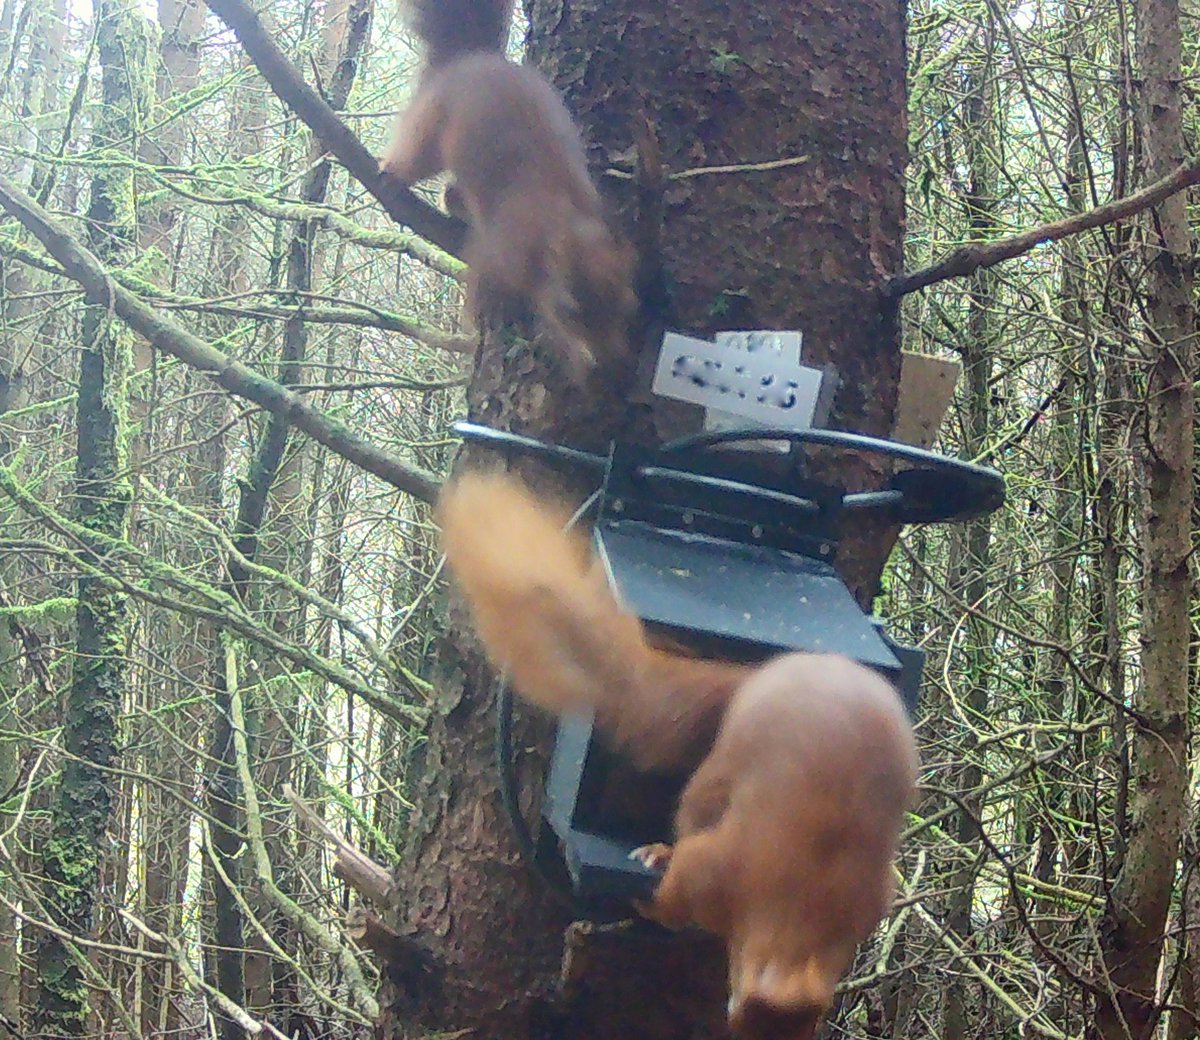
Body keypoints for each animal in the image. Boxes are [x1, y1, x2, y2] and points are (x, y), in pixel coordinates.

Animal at [381, 0, 638, 381]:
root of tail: (468, 56)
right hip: (429, 127)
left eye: (628, 306)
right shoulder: (496, 250)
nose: (607, 365)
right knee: (412, 154)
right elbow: (481, 287)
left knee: (453, 192)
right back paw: (391, 172)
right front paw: (484, 318)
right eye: (568, 308)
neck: (564, 221)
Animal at [441, 475, 916, 1040]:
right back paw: (659, 850)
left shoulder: (869, 900)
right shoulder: (724, 866)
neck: (812, 897)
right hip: (721, 769)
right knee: (696, 806)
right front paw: (651, 891)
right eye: (742, 1015)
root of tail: (754, 677)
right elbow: (676, 892)